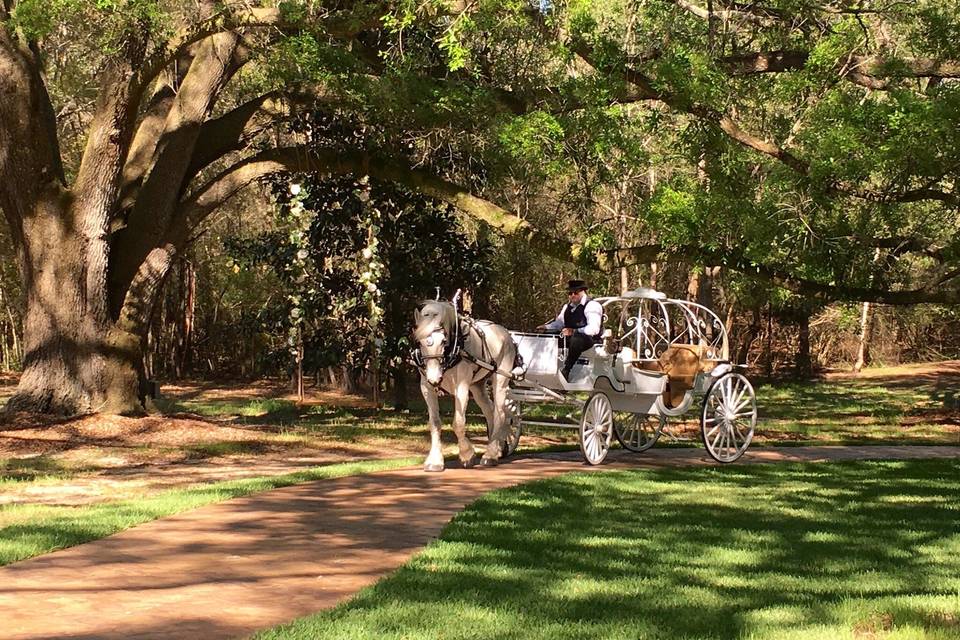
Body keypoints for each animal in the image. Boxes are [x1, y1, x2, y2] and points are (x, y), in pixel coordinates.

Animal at [412, 300, 516, 470]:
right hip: (477, 386)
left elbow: (458, 423)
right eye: (419, 342)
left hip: (501, 379)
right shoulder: (426, 387)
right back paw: (498, 448)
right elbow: (434, 423)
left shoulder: (462, 385)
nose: (434, 378)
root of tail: (505, 333)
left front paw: (467, 454)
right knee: (490, 411)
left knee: (500, 413)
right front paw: (435, 460)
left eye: (443, 341)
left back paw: (490, 455)